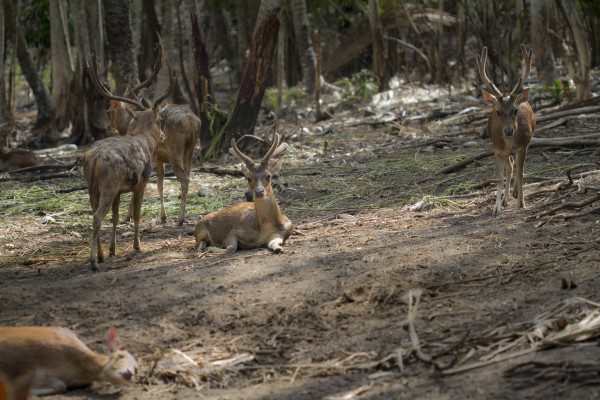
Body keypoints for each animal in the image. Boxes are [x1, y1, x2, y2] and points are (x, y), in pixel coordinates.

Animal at [82, 50, 172, 270]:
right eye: (159, 120)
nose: (163, 136)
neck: (143, 137)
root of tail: (94, 158)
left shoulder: (119, 191)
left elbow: (115, 218)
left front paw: (112, 250)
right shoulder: (141, 181)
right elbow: (137, 214)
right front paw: (137, 246)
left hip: (93, 187)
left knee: (95, 212)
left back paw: (101, 256)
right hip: (108, 184)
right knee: (97, 216)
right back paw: (94, 262)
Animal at [106, 44, 202, 227]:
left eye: (110, 109)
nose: (108, 125)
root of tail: (193, 122)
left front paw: (127, 216)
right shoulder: (160, 159)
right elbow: (160, 183)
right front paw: (163, 217)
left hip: (176, 152)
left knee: (184, 179)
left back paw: (180, 220)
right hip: (191, 150)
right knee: (188, 175)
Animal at [476, 44, 536, 216]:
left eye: (515, 110)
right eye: (497, 112)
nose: (509, 131)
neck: (510, 142)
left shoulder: (523, 146)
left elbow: (521, 173)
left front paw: (522, 202)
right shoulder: (497, 150)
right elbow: (500, 177)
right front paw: (496, 207)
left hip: (528, 142)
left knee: (518, 167)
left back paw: (514, 194)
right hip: (504, 152)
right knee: (510, 165)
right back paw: (506, 199)